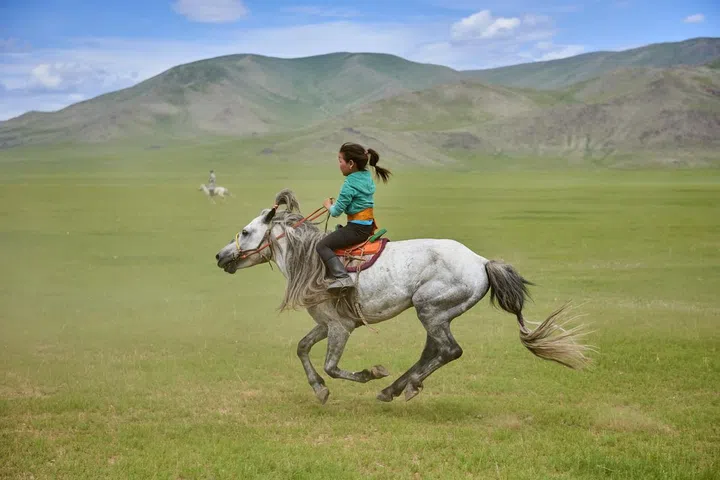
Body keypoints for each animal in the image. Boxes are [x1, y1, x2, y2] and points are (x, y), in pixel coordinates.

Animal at [215, 189, 594, 404]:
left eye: (246, 232)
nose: (220, 256)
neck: (311, 261)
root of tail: (481, 262)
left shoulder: (341, 327)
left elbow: (332, 366)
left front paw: (371, 373)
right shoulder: (326, 324)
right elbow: (302, 348)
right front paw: (319, 390)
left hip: (431, 309)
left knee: (449, 351)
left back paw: (397, 386)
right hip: (437, 314)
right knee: (434, 351)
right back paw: (398, 389)